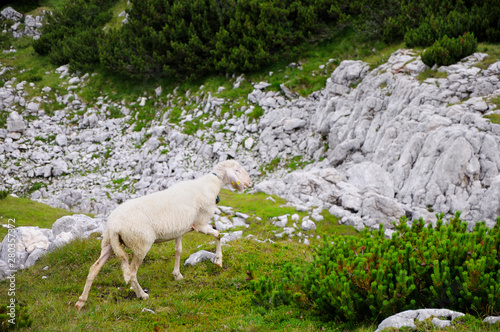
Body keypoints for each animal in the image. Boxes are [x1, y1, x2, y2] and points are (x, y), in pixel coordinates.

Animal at [74, 160, 252, 310]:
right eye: (237, 170)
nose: (249, 183)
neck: (210, 185)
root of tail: (113, 226)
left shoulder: (179, 229)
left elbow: (178, 251)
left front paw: (177, 275)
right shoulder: (200, 224)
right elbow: (218, 234)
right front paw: (219, 261)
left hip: (110, 244)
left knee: (94, 268)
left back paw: (81, 301)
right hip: (140, 244)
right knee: (131, 273)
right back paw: (142, 295)